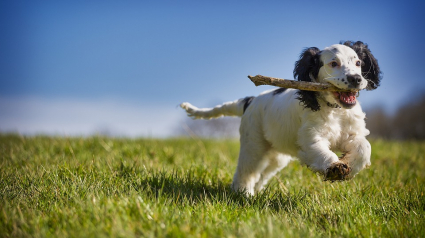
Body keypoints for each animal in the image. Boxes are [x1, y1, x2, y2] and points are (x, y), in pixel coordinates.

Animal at [181, 41, 380, 194]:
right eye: (333, 64)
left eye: (358, 63)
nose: (356, 79)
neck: (335, 110)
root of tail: (250, 100)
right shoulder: (310, 138)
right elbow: (321, 151)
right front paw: (335, 168)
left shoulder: (352, 133)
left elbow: (365, 147)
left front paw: (349, 166)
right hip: (253, 144)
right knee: (246, 171)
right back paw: (243, 194)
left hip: (276, 156)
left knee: (262, 175)